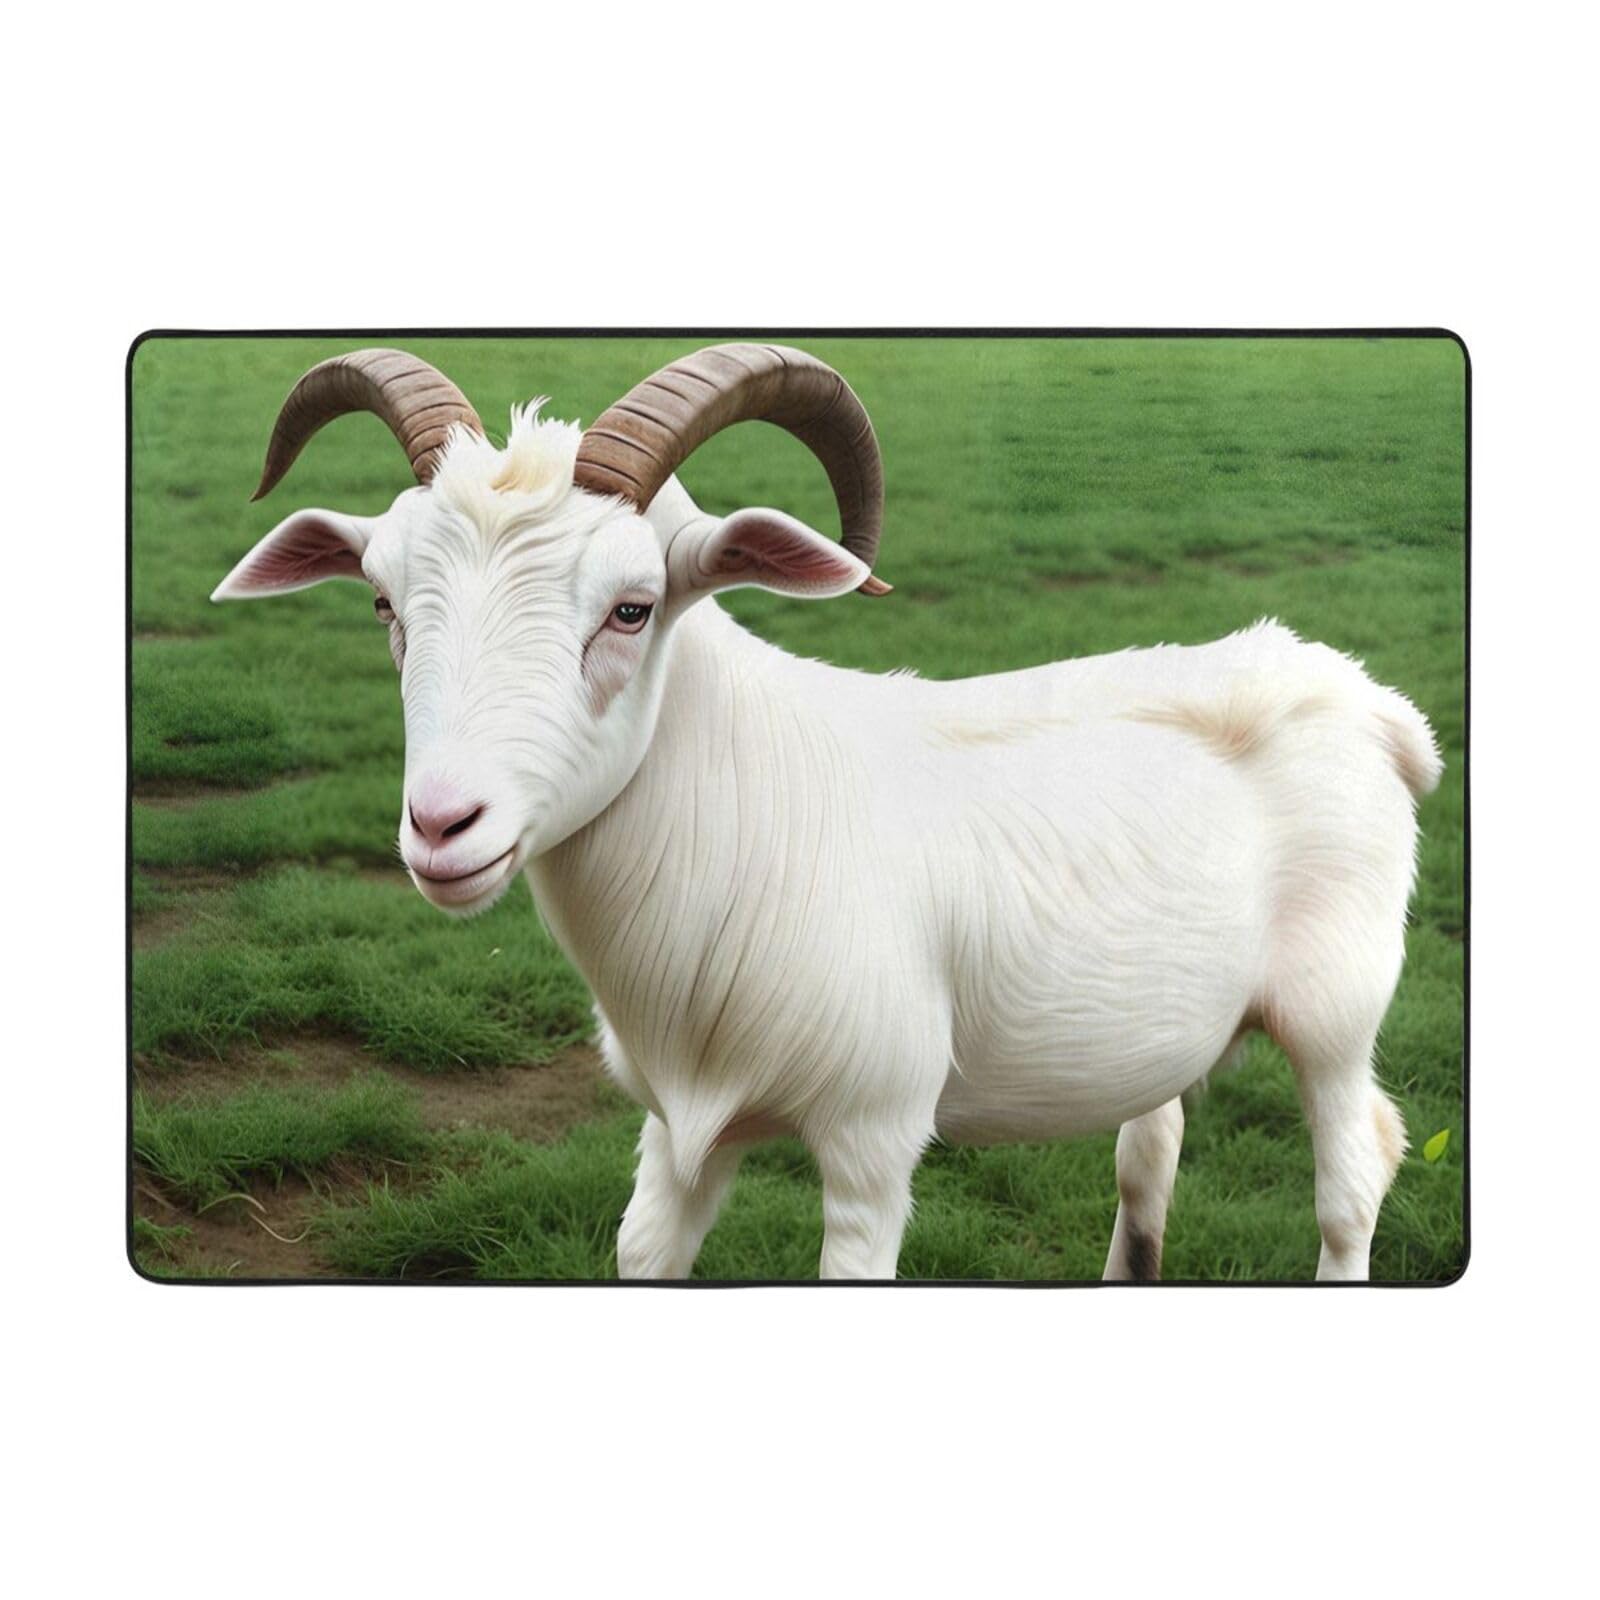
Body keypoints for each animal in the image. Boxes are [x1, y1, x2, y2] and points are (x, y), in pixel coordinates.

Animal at [214, 344, 1441, 1281]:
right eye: (383, 601)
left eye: (632, 609)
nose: (442, 827)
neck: (742, 813)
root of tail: (1369, 699)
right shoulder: (674, 1134)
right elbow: (642, 1249)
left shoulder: (872, 1138)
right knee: (1151, 1155)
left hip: (1336, 1008)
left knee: (1354, 1177)